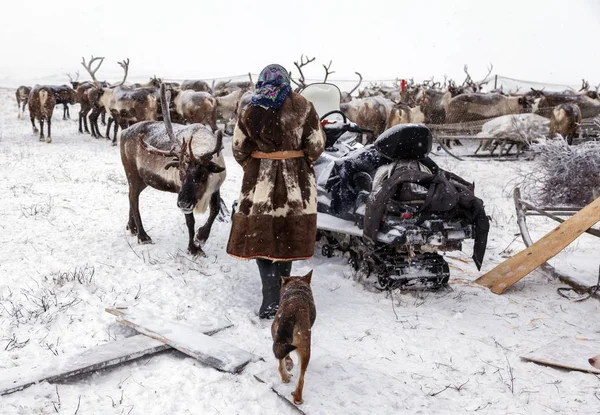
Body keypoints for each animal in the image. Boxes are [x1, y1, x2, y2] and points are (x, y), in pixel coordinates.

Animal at [272, 270, 316, 406]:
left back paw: (285, 377)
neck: (296, 288)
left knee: (280, 363)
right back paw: (298, 398)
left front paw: (289, 363)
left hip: (277, 339)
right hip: (306, 349)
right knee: (301, 379)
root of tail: (290, 311)